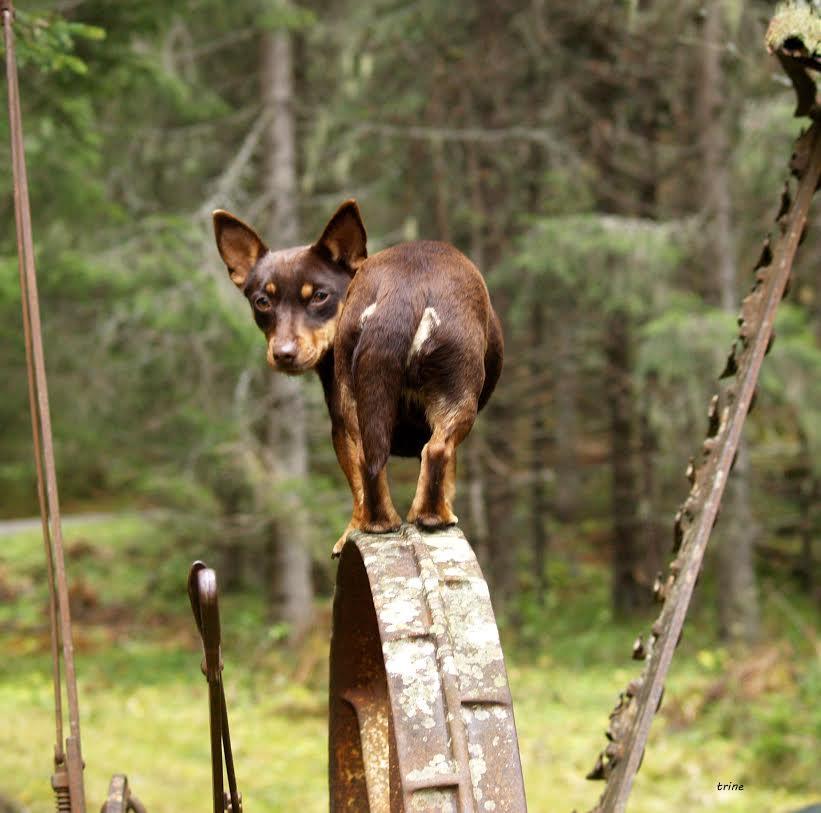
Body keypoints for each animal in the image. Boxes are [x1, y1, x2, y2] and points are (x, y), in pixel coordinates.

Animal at [211, 201, 502, 556]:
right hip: (457, 393)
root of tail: (404, 291)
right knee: (435, 450)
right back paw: (433, 516)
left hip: (358, 402)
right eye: (262, 302)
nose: (283, 354)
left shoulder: (341, 423)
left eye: (319, 296)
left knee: (369, 464)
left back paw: (376, 523)